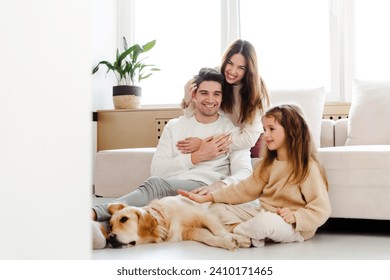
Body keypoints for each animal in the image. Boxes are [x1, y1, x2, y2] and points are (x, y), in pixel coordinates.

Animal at [106, 196, 250, 250]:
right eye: (111, 226)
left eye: (124, 219)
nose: (109, 238)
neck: (165, 220)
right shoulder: (192, 231)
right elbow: (209, 238)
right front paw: (227, 242)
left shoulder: (203, 214)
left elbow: (218, 230)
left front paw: (237, 238)